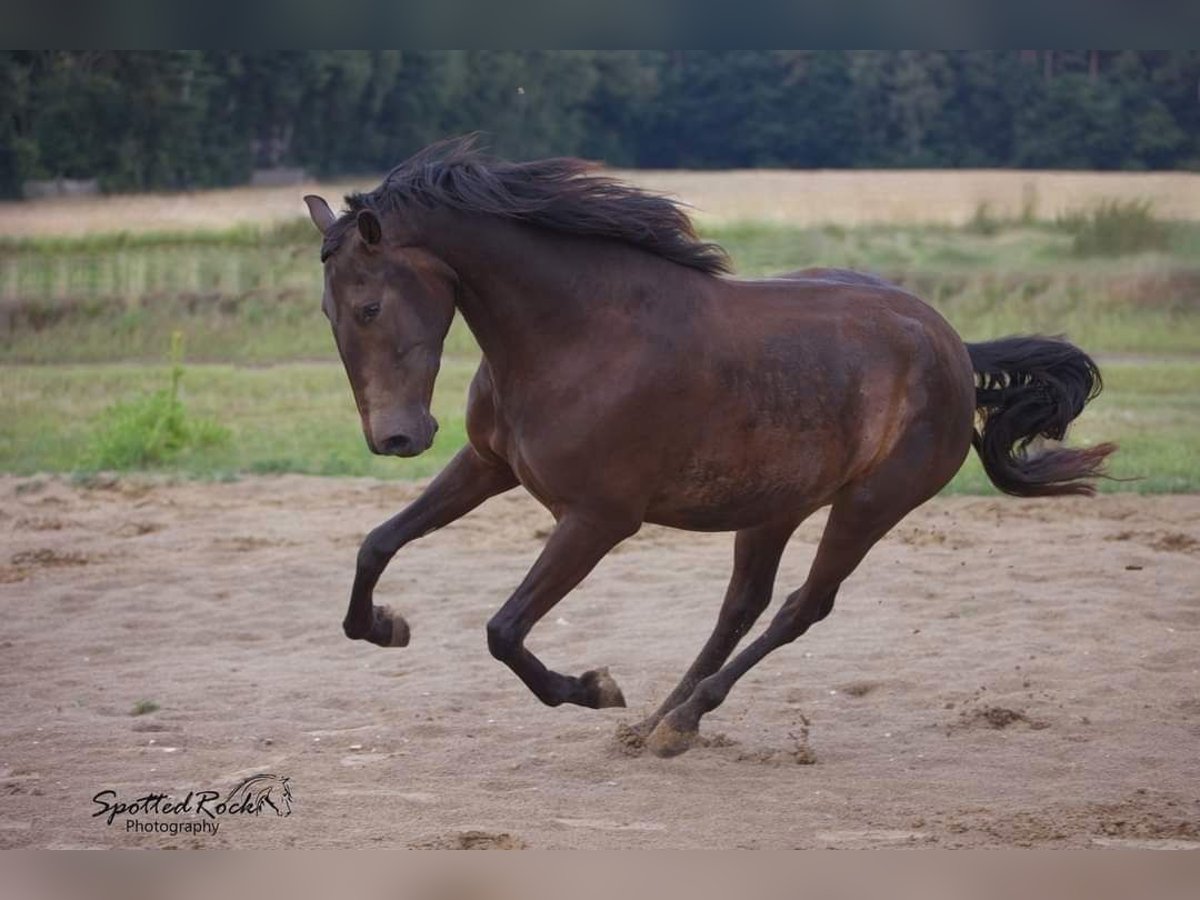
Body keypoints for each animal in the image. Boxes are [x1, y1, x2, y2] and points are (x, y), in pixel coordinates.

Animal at [302, 139, 1113, 763]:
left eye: (369, 306)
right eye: (328, 314)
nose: (396, 438)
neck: (576, 334)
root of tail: (953, 347)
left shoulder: (598, 518)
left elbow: (503, 631)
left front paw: (594, 688)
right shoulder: (488, 464)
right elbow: (377, 543)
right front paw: (385, 626)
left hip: (870, 503)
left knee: (801, 606)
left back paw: (681, 720)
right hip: (776, 503)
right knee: (742, 605)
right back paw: (661, 720)